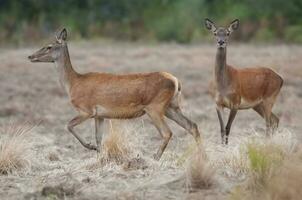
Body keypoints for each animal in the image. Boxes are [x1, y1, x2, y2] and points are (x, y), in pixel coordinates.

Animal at [27, 28, 201, 160]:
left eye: (49, 46)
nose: (30, 56)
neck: (73, 83)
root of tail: (176, 81)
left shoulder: (86, 109)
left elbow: (68, 125)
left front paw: (90, 147)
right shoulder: (99, 115)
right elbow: (99, 138)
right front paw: (99, 156)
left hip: (155, 107)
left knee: (167, 132)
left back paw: (155, 158)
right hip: (171, 106)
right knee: (192, 125)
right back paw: (201, 156)